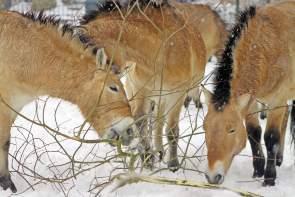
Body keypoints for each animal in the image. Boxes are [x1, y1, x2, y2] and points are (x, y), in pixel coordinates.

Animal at [80, 0, 228, 170]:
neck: (161, 51)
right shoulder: (141, 91)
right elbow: (141, 122)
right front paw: (147, 158)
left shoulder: (176, 94)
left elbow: (171, 131)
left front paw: (173, 164)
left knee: (159, 121)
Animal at [204, 1, 295, 186]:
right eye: (205, 128)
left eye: (231, 130)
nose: (212, 177)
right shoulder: (251, 101)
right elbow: (254, 133)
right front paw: (258, 170)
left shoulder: (277, 100)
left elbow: (271, 137)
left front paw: (269, 179)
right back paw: (279, 159)